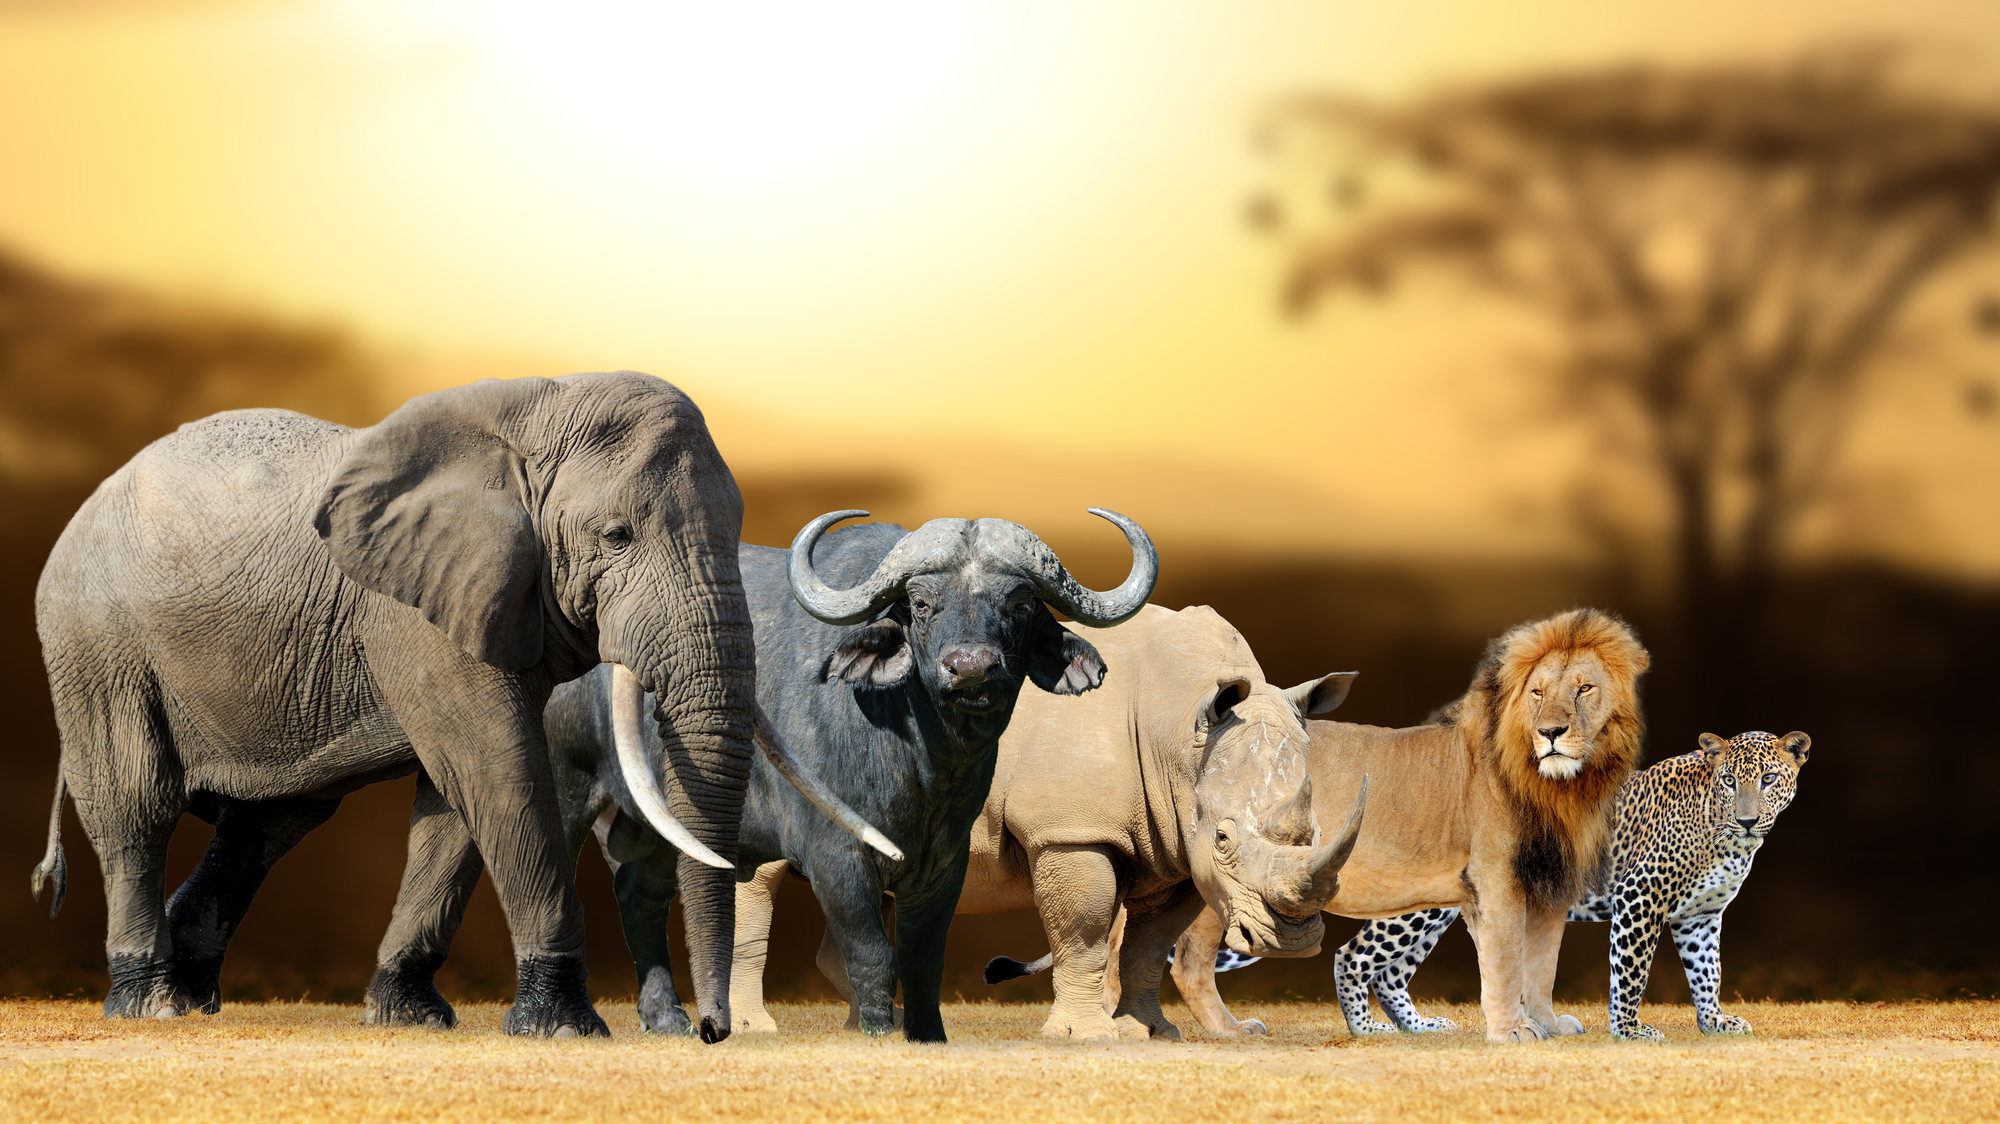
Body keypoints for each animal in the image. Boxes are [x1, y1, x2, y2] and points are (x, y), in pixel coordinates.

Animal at [29, 372, 886, 1040]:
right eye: (616, 535)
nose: (712, 1033)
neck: (538, 407)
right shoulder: (417, 608)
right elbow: (497, 766)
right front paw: (564, 1027)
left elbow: (453, 801)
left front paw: (406, 1016)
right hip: (95, 640)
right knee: (137, 805)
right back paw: (152, 1003)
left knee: (271, 821)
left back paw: (193, 990)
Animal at [372, 509, 1157, 1042]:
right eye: (921, 604)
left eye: (1018, 605)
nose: (969, 669)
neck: (921, 762)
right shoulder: (836, 854)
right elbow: (872, 951)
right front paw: (875, 1032)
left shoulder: (946, 862)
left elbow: (922, 954)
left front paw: (926, 1035)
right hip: (566, 783)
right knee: (542, 870)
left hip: (655, 821)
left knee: (640, 893)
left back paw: (666, 1016)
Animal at [732, 604, 1370, 1041]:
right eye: (1223, 839)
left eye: (1315, 831)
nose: (1292, 941)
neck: (1180, 729)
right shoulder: (1072, 832)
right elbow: (1083, 929)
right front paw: (1087, 1036)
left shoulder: (1173, 847)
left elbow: (1147, 945)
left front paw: (1150, 1034)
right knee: (758, 875)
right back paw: (757, 1030)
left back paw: (878, 1025)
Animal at [1168, 608, 1648, 1042]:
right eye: (1537, 693)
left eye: (1584, 688)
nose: (1551, 732)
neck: (1563, 787)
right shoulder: (1496, 879)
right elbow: (1506, 963)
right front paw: (1511, 1031)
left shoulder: (1549, 884)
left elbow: (1541, 966)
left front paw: (1547, 1024)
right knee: (1189, 960)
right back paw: (1226, 1030)